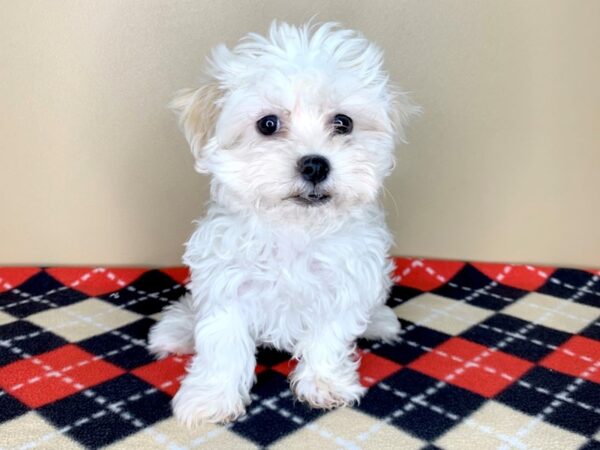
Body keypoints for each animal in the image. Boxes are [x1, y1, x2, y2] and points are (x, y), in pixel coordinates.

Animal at [150, 20, 418, 426]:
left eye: (343, 123)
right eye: (268, 124)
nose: (315, 164)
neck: (294, 229)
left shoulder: (344, 284)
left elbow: (328, 337)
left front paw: (324, 383)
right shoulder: (226, 285)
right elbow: (222, 344)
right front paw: (211, 397)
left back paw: (379, 321)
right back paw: (177, 329)